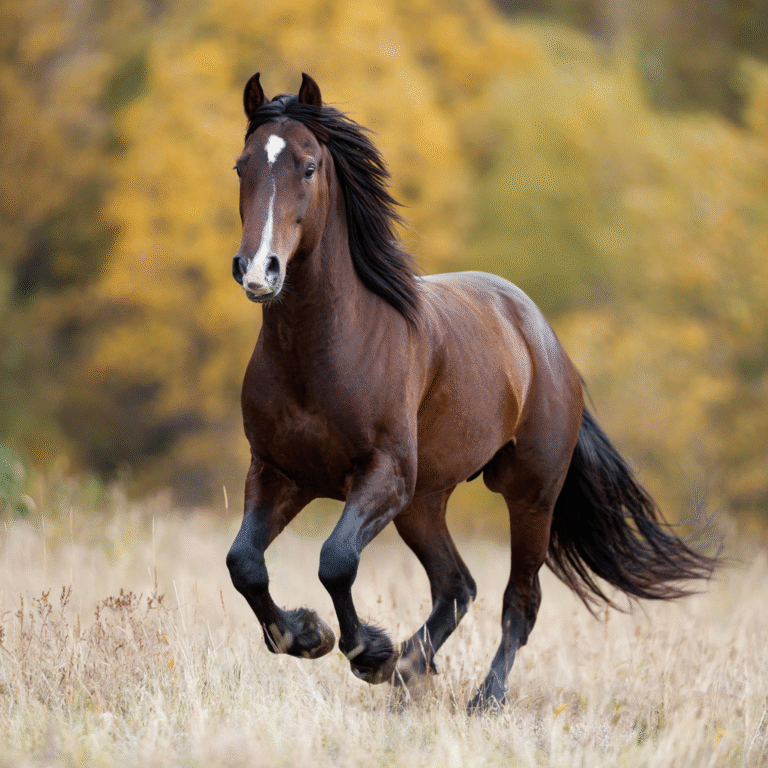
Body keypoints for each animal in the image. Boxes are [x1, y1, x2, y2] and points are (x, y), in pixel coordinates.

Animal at [225, 73, 718, 712]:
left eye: (308, 166)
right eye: (241, 167)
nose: (259, 270)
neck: (321, 353)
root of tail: (546, 343)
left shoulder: (382, 475)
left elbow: (336, 562)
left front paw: (367, 653)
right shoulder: (279, 474)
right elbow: (245, 564)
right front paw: (310, 636)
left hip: (528, 495)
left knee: (519, 601)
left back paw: (482, 696)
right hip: (424, 503)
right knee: (457, 585)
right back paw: (411, 668)